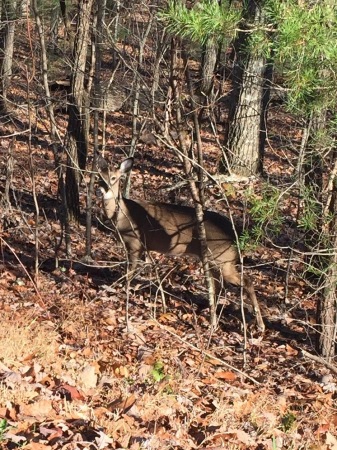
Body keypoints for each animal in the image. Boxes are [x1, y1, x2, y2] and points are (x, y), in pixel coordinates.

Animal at [96, 156, 264, 332]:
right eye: (99, 176)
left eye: (113, 178)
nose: (100, 191)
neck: (121, 216)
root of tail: (236, 235)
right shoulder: (142, 248)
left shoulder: (135, 244)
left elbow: (129, 273)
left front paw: (120, 290)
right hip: (214, 260)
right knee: (219, 286)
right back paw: (211, 315)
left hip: (223, 259)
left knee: (246, 281)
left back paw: (259, 325)